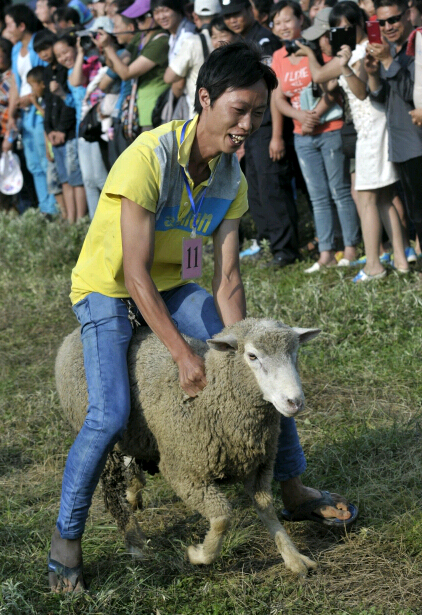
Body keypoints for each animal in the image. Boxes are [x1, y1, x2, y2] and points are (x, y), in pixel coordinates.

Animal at [55, 318, 320, 576]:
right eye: (252, 356)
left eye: (294, 352)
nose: (294, 402)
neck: (211, 400)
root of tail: (71, 336)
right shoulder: (183, 472)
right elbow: (222, 517)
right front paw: (199, 555)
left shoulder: (259, 468)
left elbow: (267, 510)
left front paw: (293, 557)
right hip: (101, 435)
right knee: (111, 491)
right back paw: (134, 542)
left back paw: (134, 490)